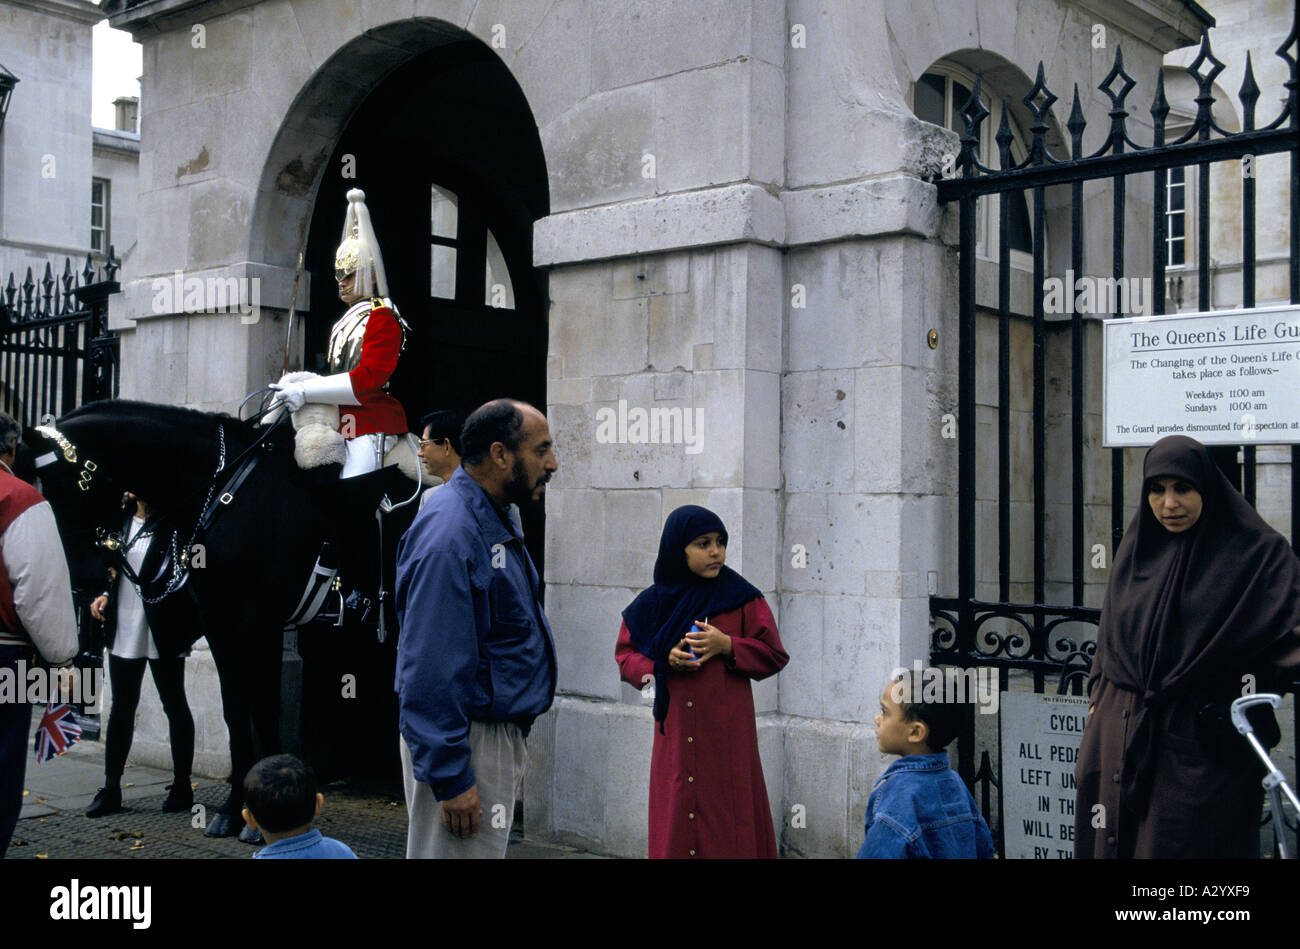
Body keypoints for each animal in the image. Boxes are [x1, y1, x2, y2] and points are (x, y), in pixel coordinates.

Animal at [29, 400, 416, 837]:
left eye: (68, 484)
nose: (85, 581)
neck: (225, 490)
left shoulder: (258, 623)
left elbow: (259, 708)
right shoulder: (223, 624)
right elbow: (239, 712)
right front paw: (239, 807)